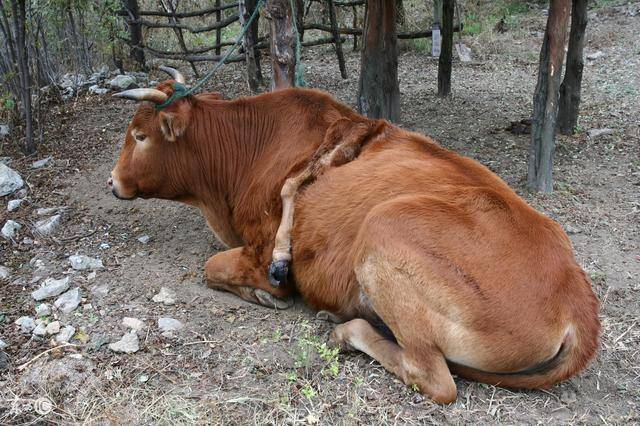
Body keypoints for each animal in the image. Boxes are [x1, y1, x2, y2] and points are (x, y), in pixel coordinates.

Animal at [109, 70, 600, 402]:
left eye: (140, 134)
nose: (112, 182)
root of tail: (578, 303)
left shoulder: (259, 249)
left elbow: (213, 267)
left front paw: (266, 293)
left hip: (383, 229)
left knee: (434, 377)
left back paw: (347, 329)